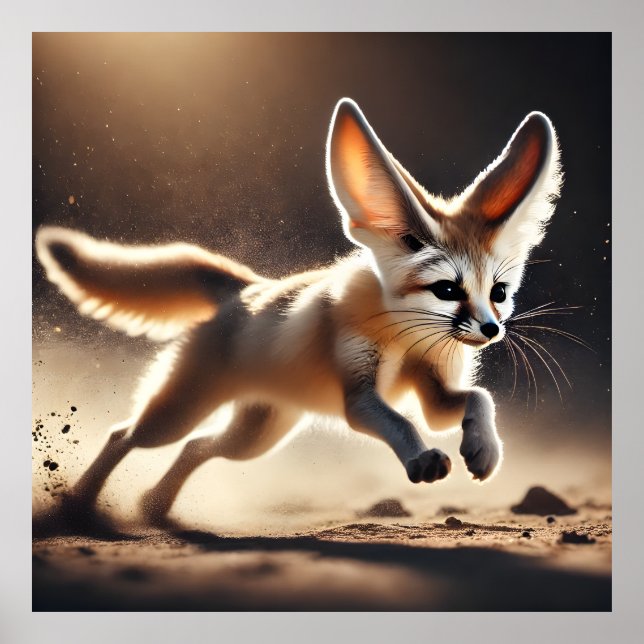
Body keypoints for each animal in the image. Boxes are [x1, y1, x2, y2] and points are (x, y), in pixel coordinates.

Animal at [35, 98, 561, 524]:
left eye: (498, 292)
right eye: (448, 289)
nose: (491, 331)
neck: (406, 336)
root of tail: (247, 289)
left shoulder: (434, 389)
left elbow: (477, 398)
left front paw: (483, 450)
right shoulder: (359, 397)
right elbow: (402, 422)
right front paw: (422, 459)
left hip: (256, 435)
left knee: (197, 446)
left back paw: (154, 507)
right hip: (181, 412)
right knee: (122, 435)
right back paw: (79, 506)